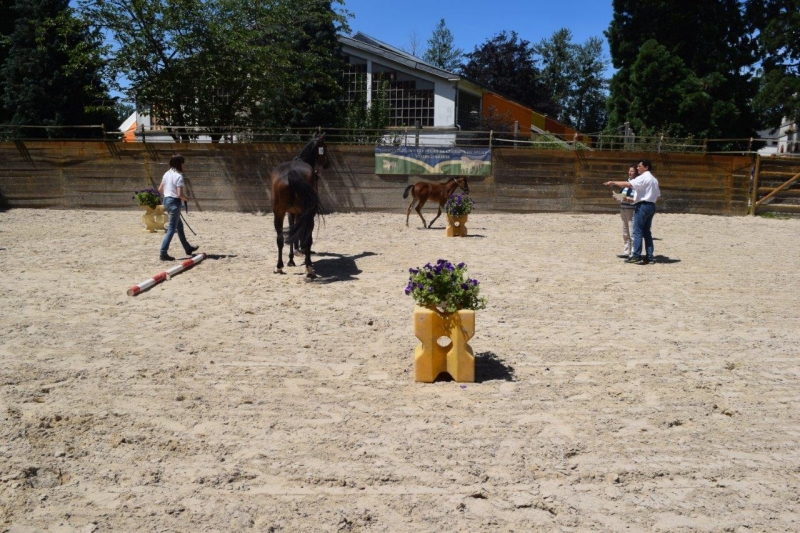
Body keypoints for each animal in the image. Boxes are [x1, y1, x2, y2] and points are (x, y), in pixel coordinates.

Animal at [272, 133, 328, 278]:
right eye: (325, 148)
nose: (327, 164)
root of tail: (291, 173)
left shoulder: (291, 212)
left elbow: (293, 233)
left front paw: (291, 260)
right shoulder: (299, 213)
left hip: (279, 213)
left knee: (280, 238)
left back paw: (279, 266)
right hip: (307, 214)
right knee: (308, 237)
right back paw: (309, 267)